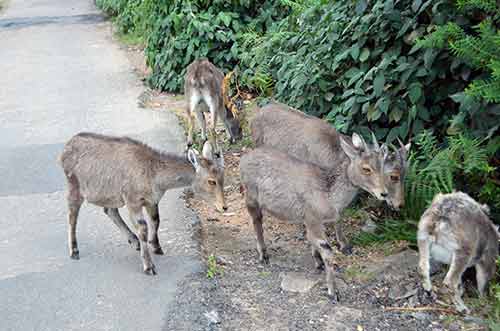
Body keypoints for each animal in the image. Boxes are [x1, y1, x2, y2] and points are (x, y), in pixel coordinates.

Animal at [59, 134, 226, 276]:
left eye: (223, 176)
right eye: (211, 181)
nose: (224, 207)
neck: (155, 178)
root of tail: (63, 152)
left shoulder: (152, 200)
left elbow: (156, 220)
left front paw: (157, 247)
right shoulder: (132, 199)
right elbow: (143, 228)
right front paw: (149, 266)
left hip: (111, 193)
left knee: (109, 210)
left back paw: (134, 241)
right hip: (74, 185)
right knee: (72, 215)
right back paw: (74, 251)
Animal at [250, 102, 410, 253]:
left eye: (404, 174)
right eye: (393, 176)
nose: (400, 204)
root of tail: (257, 113)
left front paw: (343, 243)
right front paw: (342, 245)